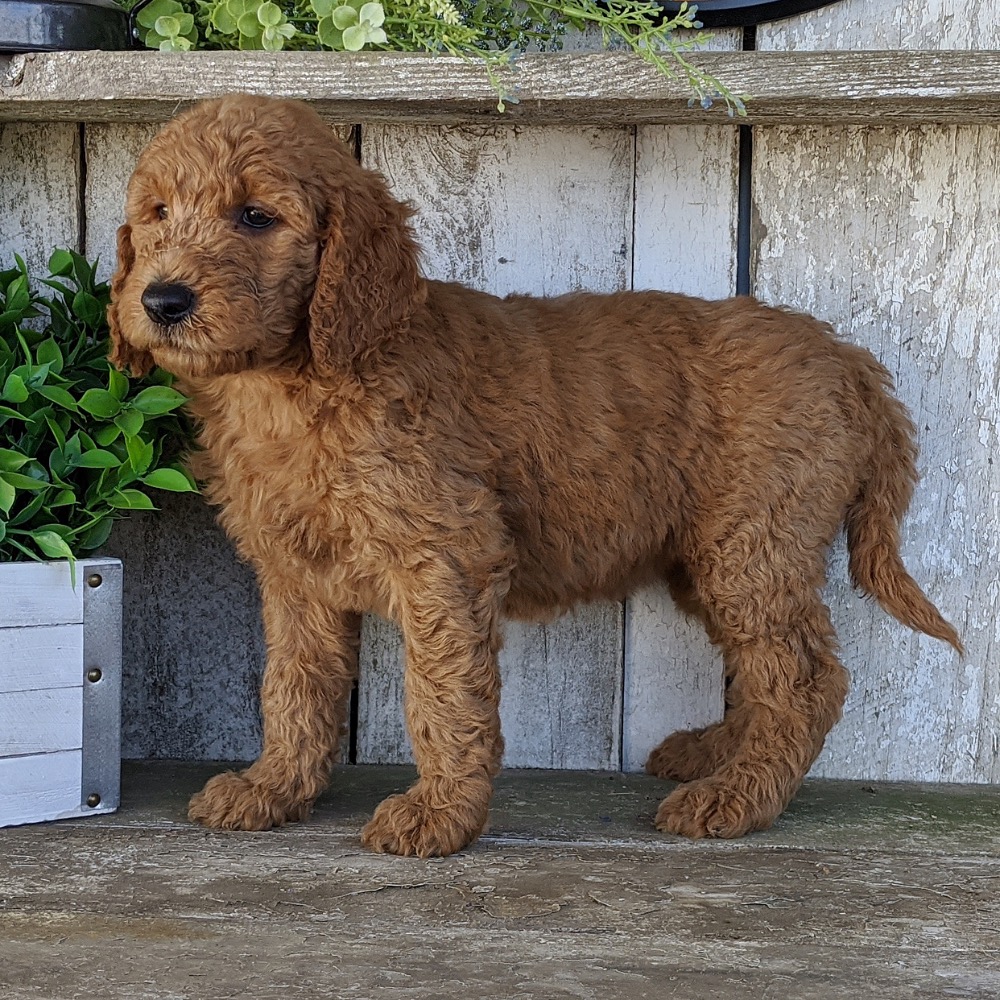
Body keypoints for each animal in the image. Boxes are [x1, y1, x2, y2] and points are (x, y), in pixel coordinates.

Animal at [107, 95, 960, 860]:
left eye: (255, 217)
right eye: (156, 212)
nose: (163, 300)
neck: (298, 380)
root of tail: (848, 359)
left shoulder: (448, 553)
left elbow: (441, 694)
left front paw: (440, 814)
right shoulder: (296, 576)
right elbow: (293, 687)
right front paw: (274, 788)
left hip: (753, 545)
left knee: (804, 677)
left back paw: (736, 796)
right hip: (710, 556)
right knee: (766, 669)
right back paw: (715, 755)